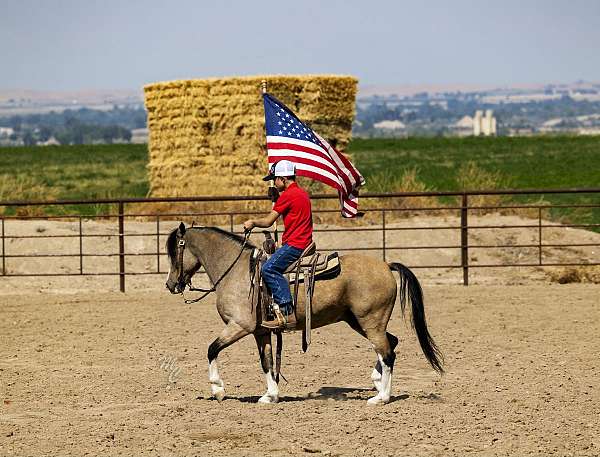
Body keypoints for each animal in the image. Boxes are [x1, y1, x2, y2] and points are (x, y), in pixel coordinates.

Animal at [163, 223, 440, 404]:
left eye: (174, 252)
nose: (170, 284)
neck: (237, 271)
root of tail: (385, 265)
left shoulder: (239, 326)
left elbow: (212, 349)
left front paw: (218, 389)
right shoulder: (260, 331)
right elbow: (266, 362)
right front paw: (270, 395)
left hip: (370, 321)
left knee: (387, 351)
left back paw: (381, 397)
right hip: (359, 321)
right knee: (390, 344)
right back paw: (377, 382)